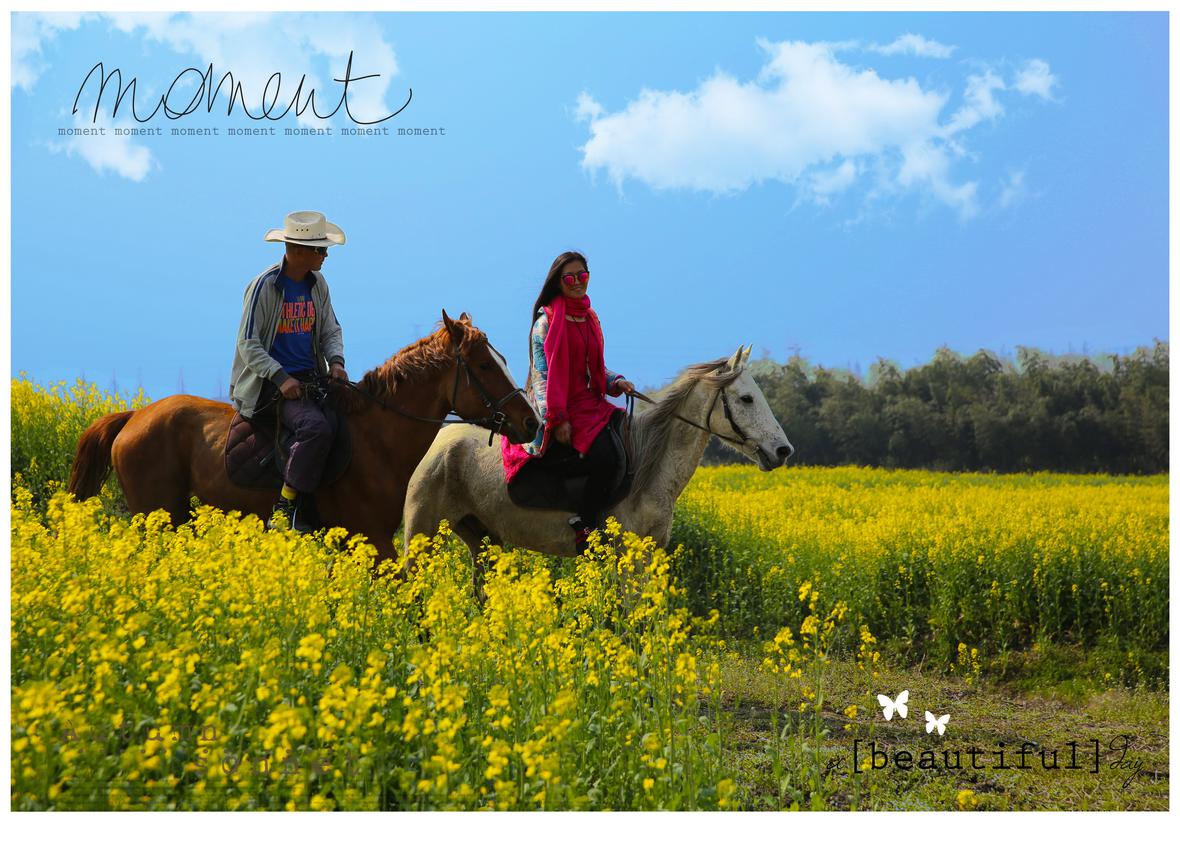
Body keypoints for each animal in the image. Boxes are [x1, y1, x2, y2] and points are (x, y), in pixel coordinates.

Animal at [67, 311, 541, 567]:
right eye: (484, 364)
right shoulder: (372, 540)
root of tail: (134, 417)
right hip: (157, 516)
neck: (378, 439)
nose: (531, 422)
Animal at [402, 345, 793, 576]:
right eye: (746, 399)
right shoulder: (626, 556)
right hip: (421, 530)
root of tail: (439, 440)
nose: (782, 450)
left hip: (480, 536)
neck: (649, 471)